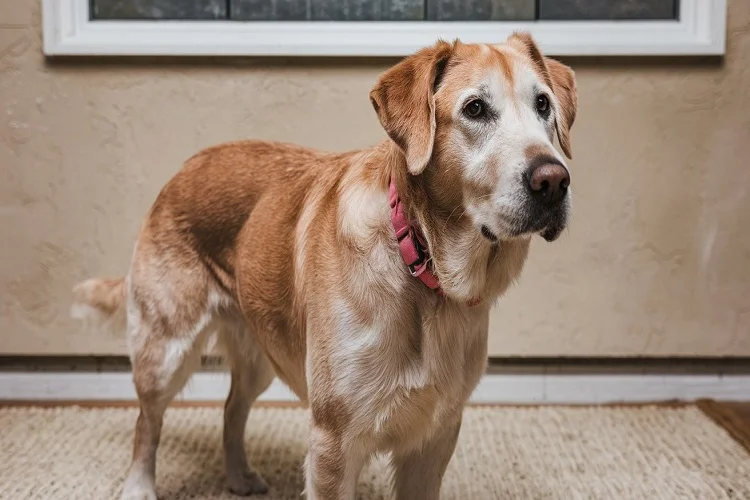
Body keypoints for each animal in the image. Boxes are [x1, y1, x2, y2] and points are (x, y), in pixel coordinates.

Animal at [72, 32, 576, 500]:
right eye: (475, 109)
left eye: (543, 105)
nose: (553, 180)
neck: (419, 261)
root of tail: (185, 166)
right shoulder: (334, 443)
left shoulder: (433, 442)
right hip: (166, 350)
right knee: (146, 422)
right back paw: (139, 487)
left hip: (261, 352)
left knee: (232, 409)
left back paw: (239, 476)